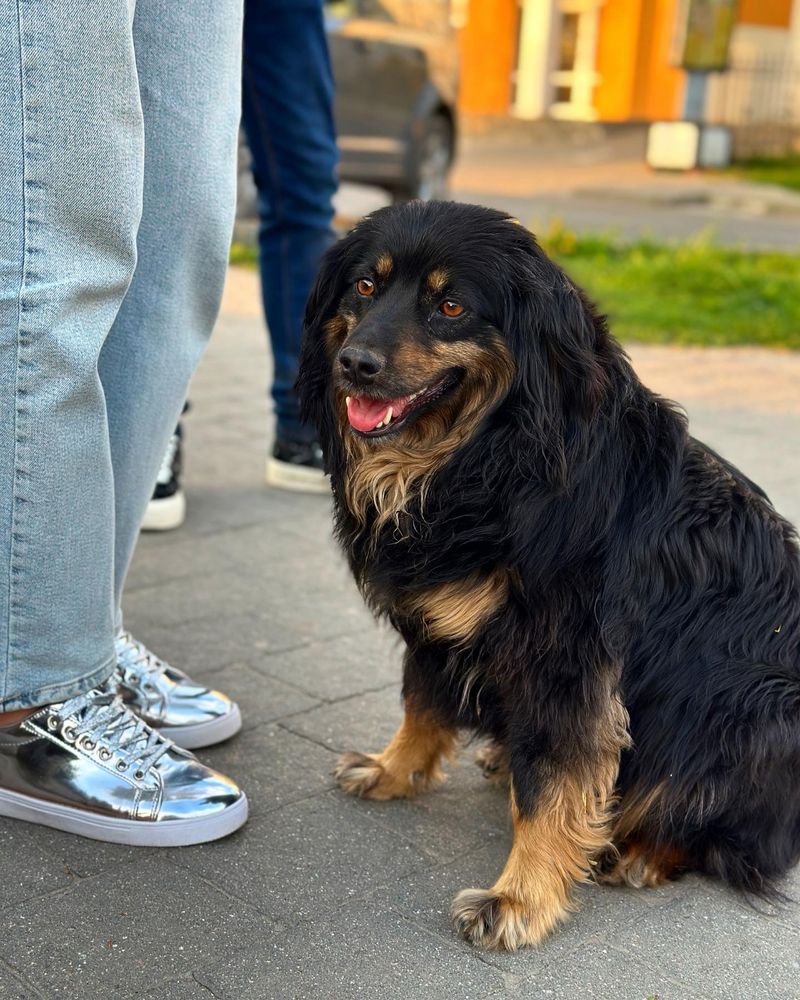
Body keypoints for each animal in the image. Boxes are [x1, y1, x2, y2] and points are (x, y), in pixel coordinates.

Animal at [296, 199, 800, 948]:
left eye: (450, 305)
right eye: (365, 286)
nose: (353, 364)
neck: (487, 457)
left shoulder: (566, 659)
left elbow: (554, 786)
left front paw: (521, 897)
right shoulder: (438, 622)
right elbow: (421, 699)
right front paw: (395, 769)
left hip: (750, 709)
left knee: (735, 836)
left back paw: (643, 852)